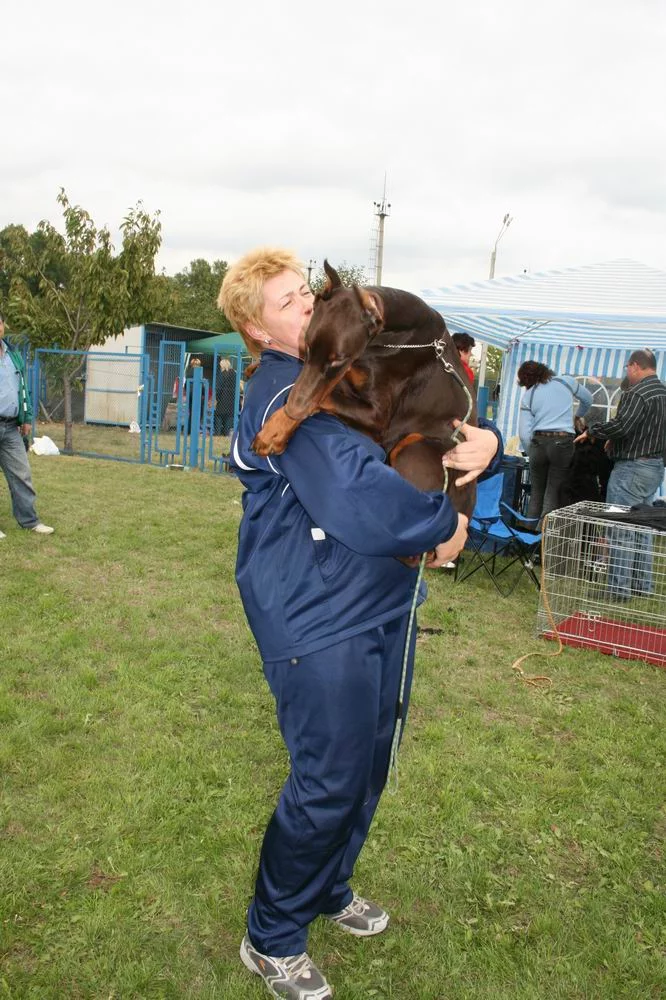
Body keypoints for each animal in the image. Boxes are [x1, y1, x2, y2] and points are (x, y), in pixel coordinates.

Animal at [251, 261, 478, 519]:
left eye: (338, 359)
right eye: (306, 346)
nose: (293, 409)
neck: (389, 335)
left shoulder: (377, 417)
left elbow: (324, 397)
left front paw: (275, 431)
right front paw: (254, 366)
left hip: (415, 444)